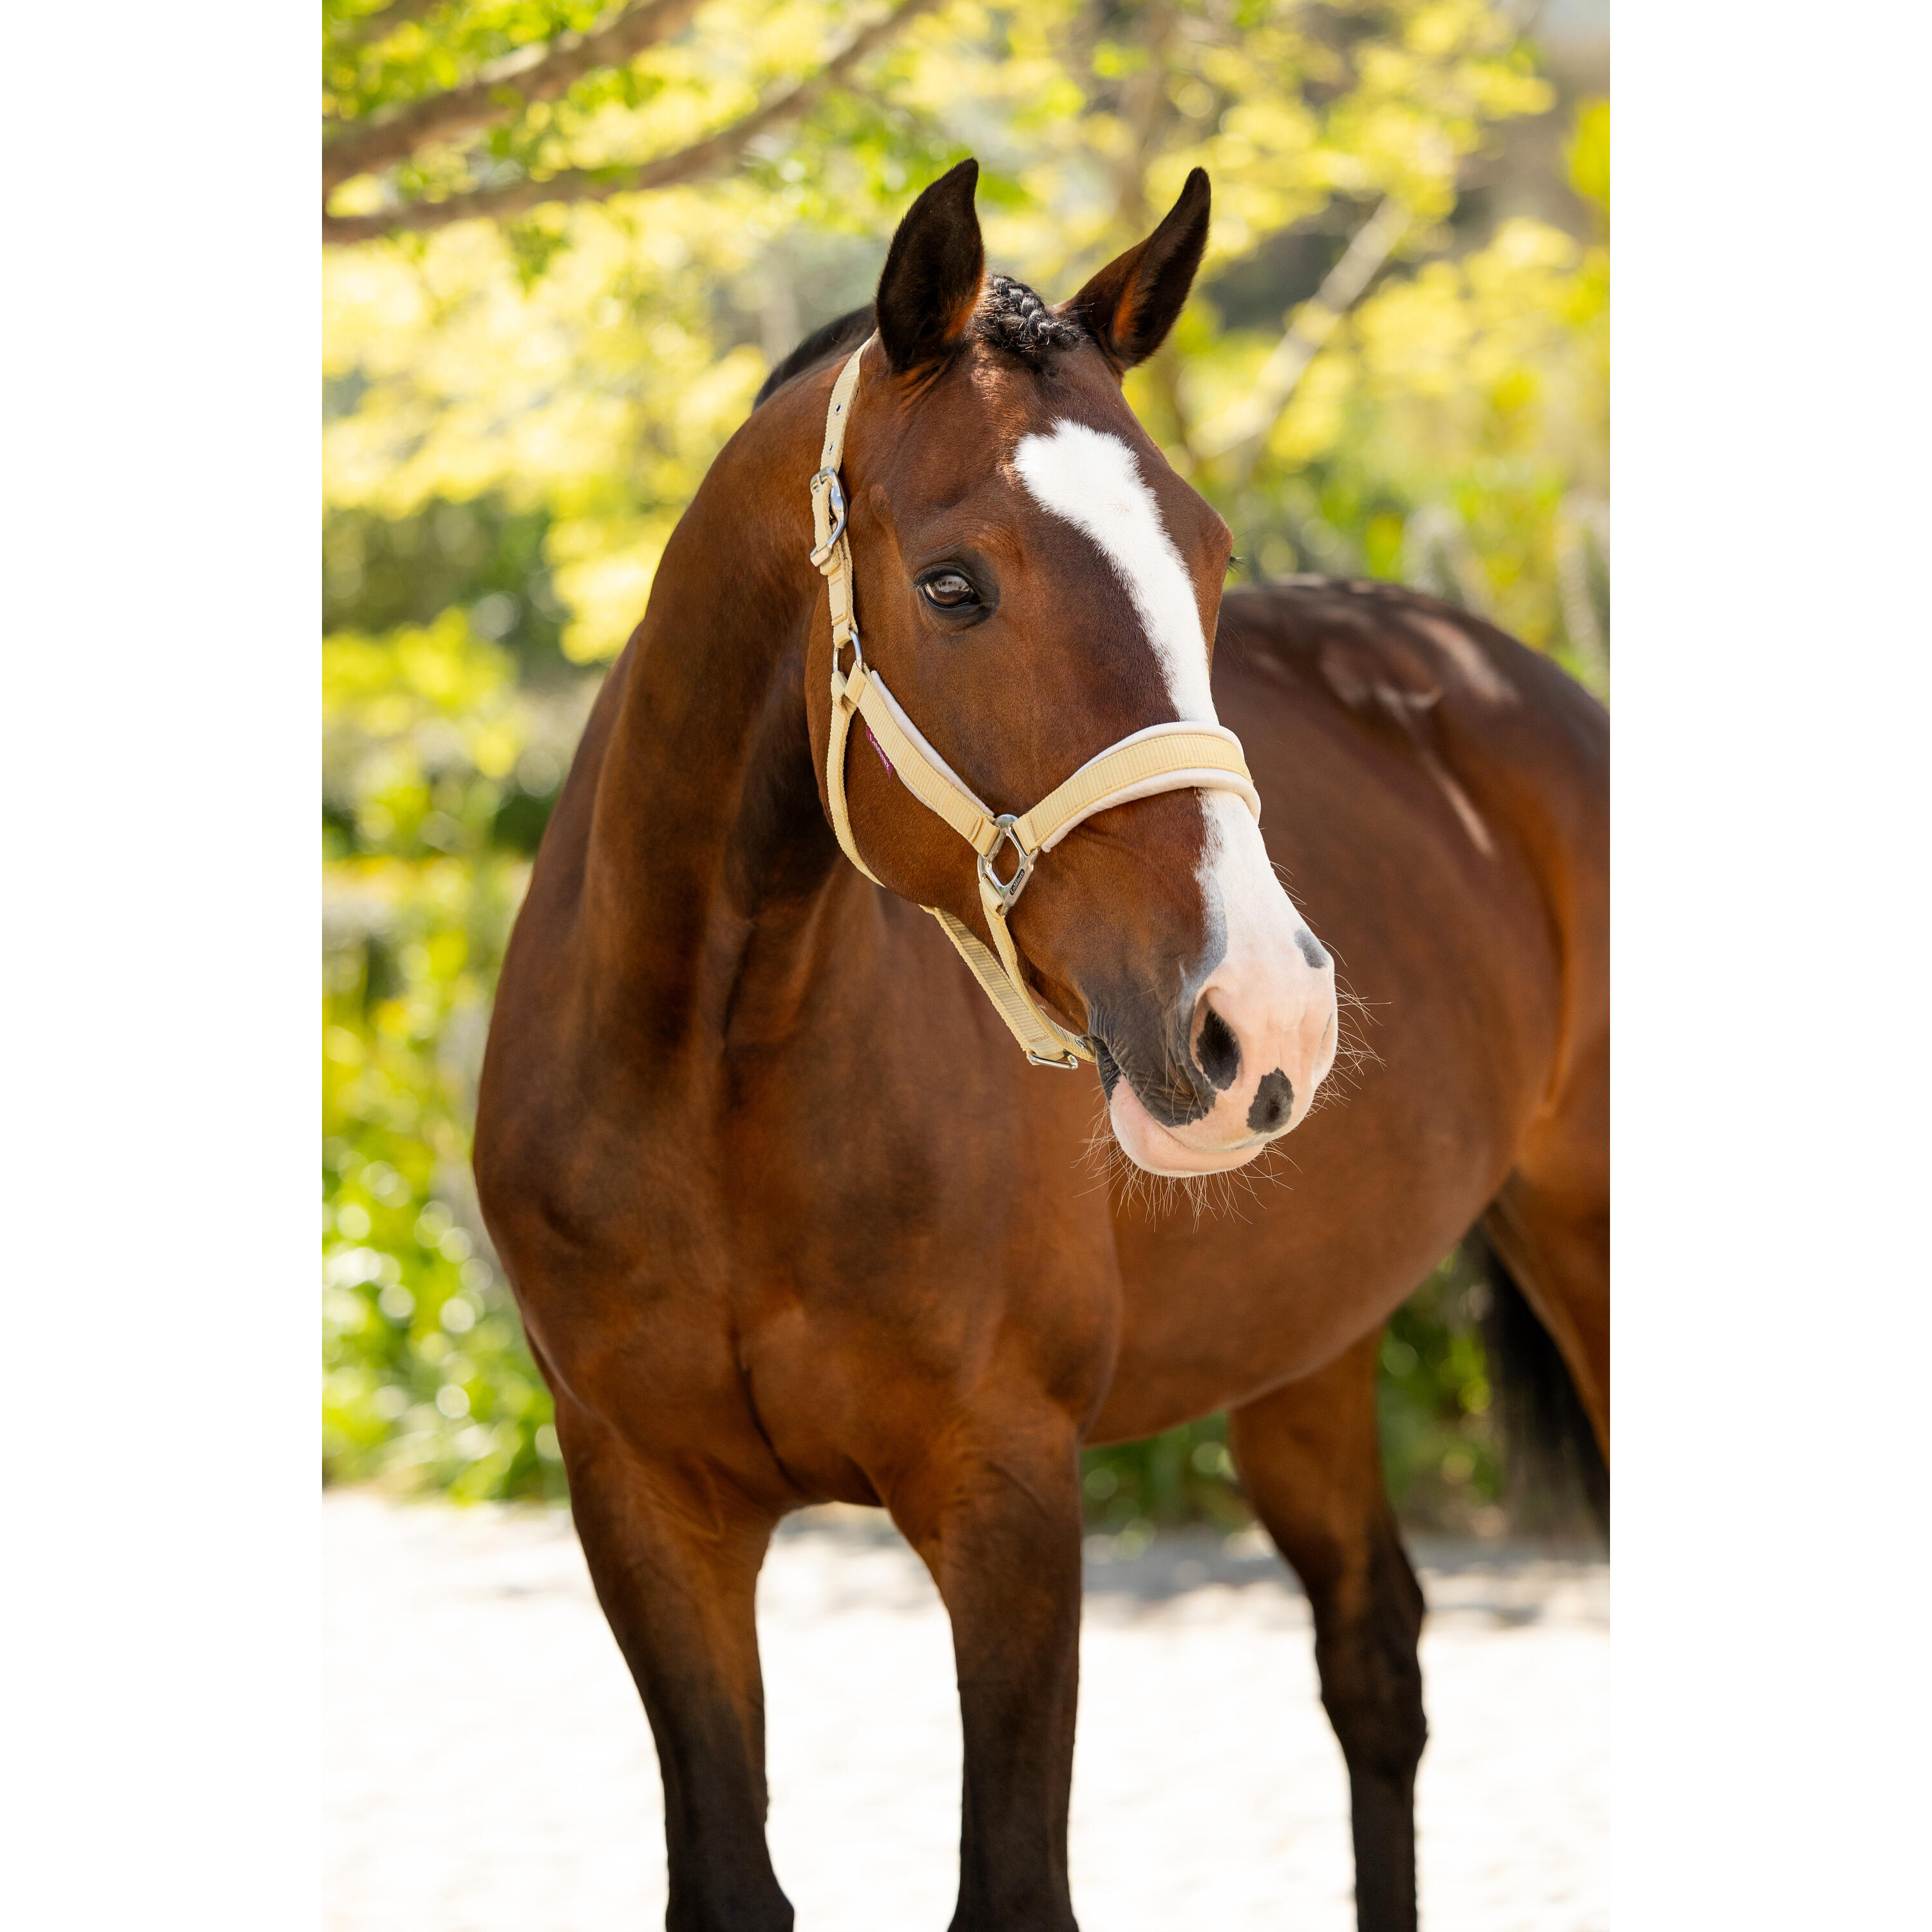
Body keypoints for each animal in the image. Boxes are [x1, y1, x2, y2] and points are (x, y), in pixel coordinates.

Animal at [474, 158, 1608, 1932]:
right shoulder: (644, 1505)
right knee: (1375, 1661)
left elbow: (1011, 1885)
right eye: (953, 583)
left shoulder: (1007, 1496)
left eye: (1210, 559)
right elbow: (729, 1876)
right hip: (1310, 1344)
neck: (711, 1077)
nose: (1266, 1015)